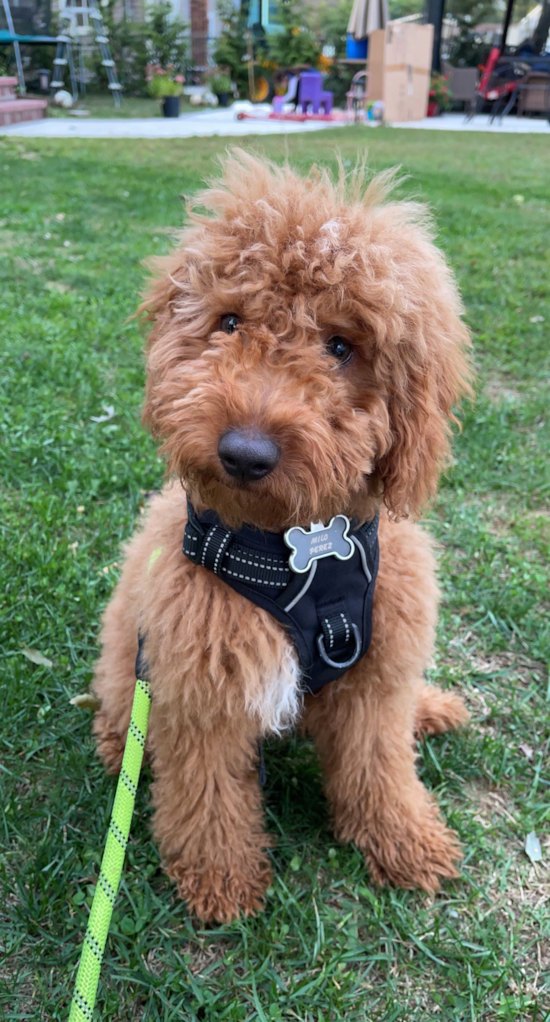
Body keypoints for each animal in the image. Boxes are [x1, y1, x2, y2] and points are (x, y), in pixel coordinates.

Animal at [93, 151, 470, 927]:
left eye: (341, 345)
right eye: (229, 321)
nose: (244, 453)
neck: (304, 552)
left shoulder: (375, 678)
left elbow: (381, 766)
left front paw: (406, 841)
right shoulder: (202, 689)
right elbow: (207, 796)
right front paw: (221, 880)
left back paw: (431, 709)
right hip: (130, 668)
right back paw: (121, 748)